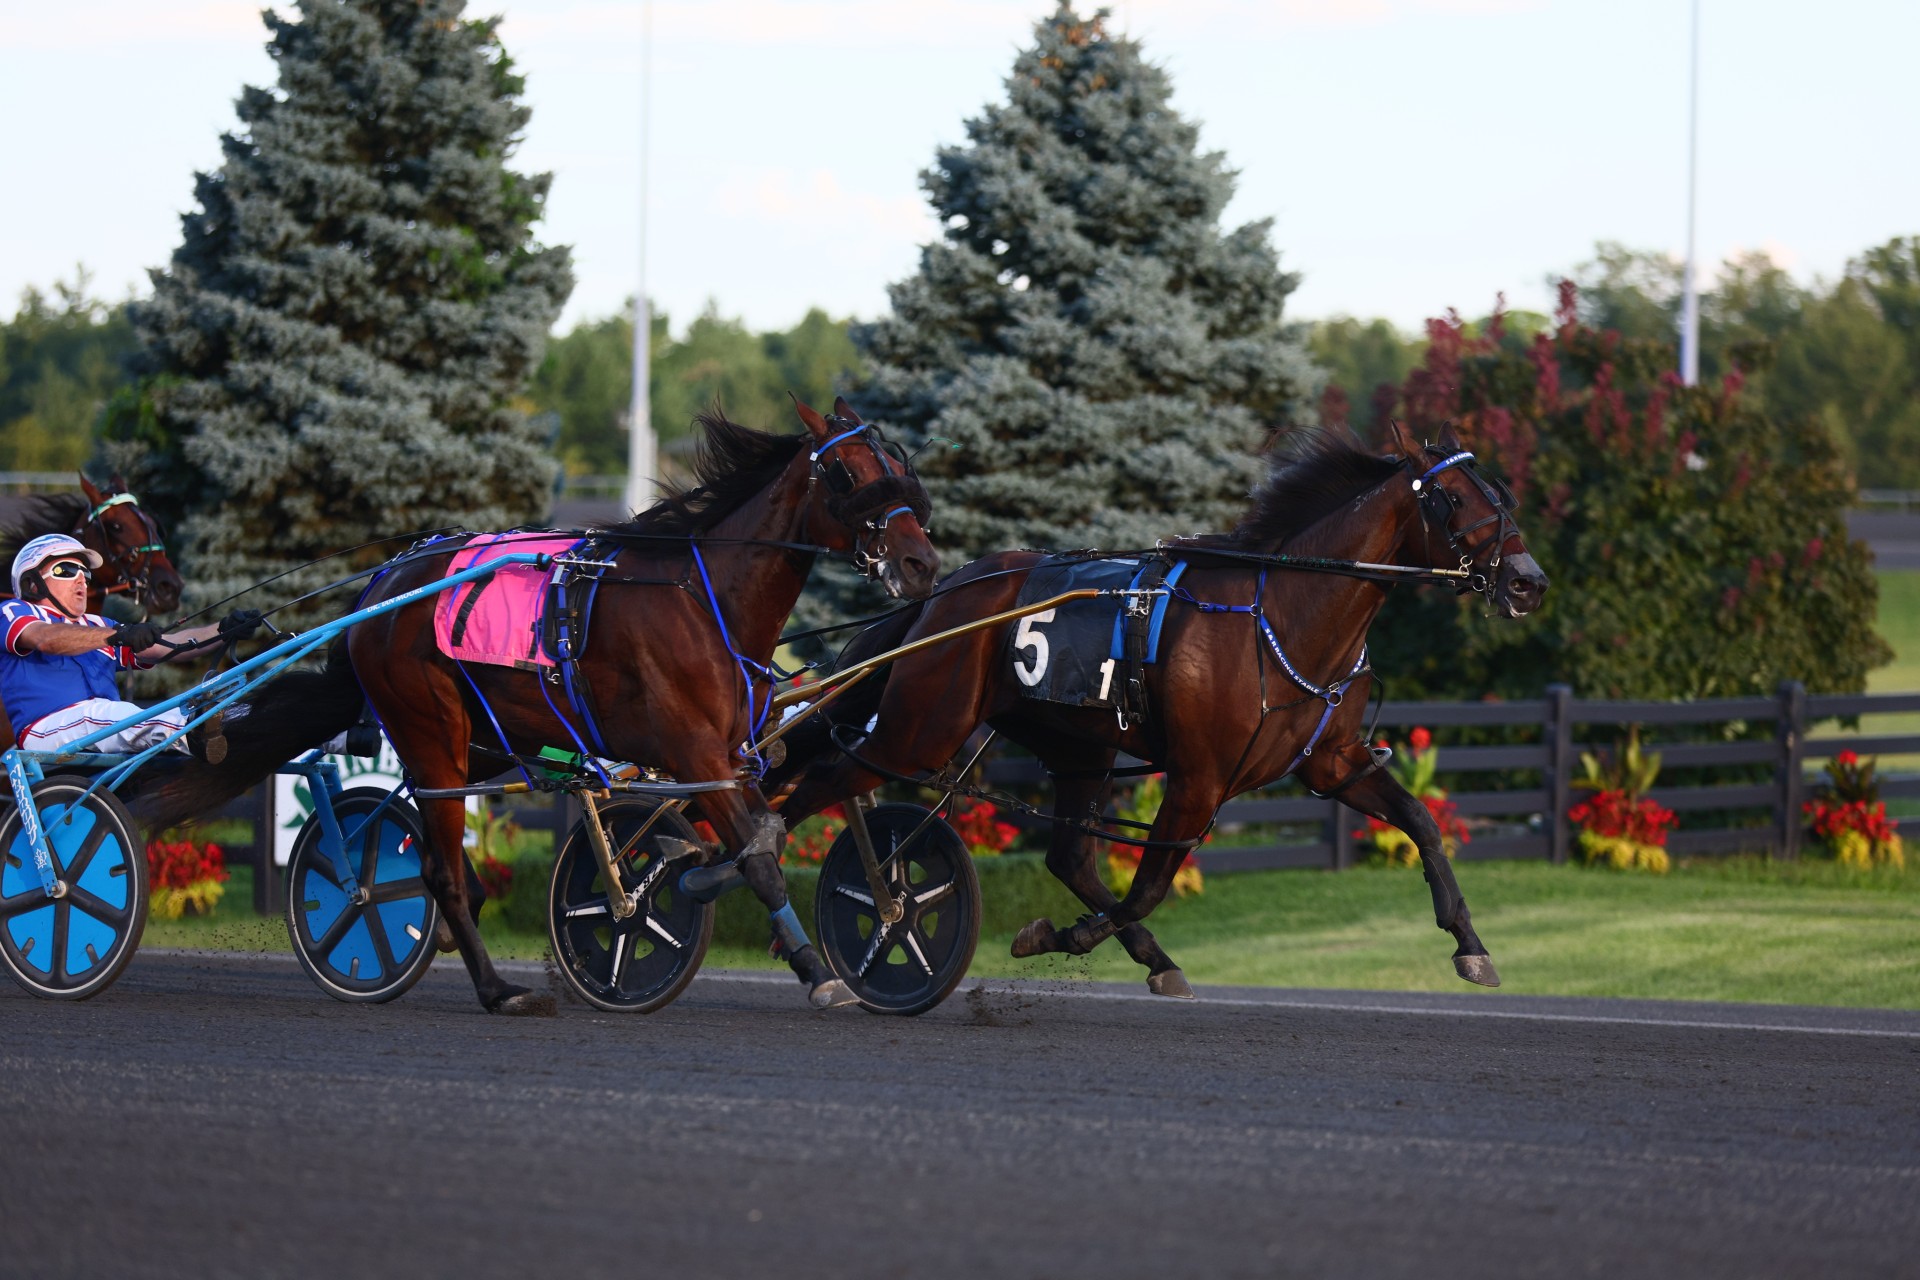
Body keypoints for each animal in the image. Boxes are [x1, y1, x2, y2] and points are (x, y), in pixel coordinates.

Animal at [142, 395, 936, 1013]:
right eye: (847, 472)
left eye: (898, 468)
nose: (921, 561)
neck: (702, 602)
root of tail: (379, 592)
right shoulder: (691, 749)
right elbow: (761, 852)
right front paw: (815, 971)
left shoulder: (734, 755)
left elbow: (759, 829)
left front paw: (687, 867)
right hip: (431, 726)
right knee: (438, 867)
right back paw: (497, 988)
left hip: (484, 742)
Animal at [775, 426, 1543, 997]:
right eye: (1449, 498)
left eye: (1500, 493)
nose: (1528, 582)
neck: (1285, 614)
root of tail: (946, 590)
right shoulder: (1199, 778)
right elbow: (1146, 887)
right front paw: (1061, 935)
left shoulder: (1333, 763)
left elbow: (1422, 823)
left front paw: (1470, 945)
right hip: (920, 729)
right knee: (810, 787)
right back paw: (809, 898)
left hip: (1079, 748)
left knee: (1066, 855)